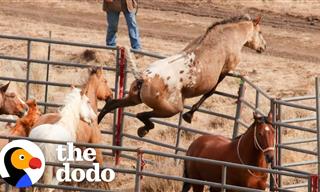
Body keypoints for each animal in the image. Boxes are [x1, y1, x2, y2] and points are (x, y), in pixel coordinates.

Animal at [98, 14, 268, 137]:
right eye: (260, 32)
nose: (264, 47)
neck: (228, 36)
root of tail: (144, 78)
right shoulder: (226, 70)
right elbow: (210, 92)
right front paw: (189, 115)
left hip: (134, 99)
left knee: (111, 104)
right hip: (170, 109)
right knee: (142, 115)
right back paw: (144, 129)